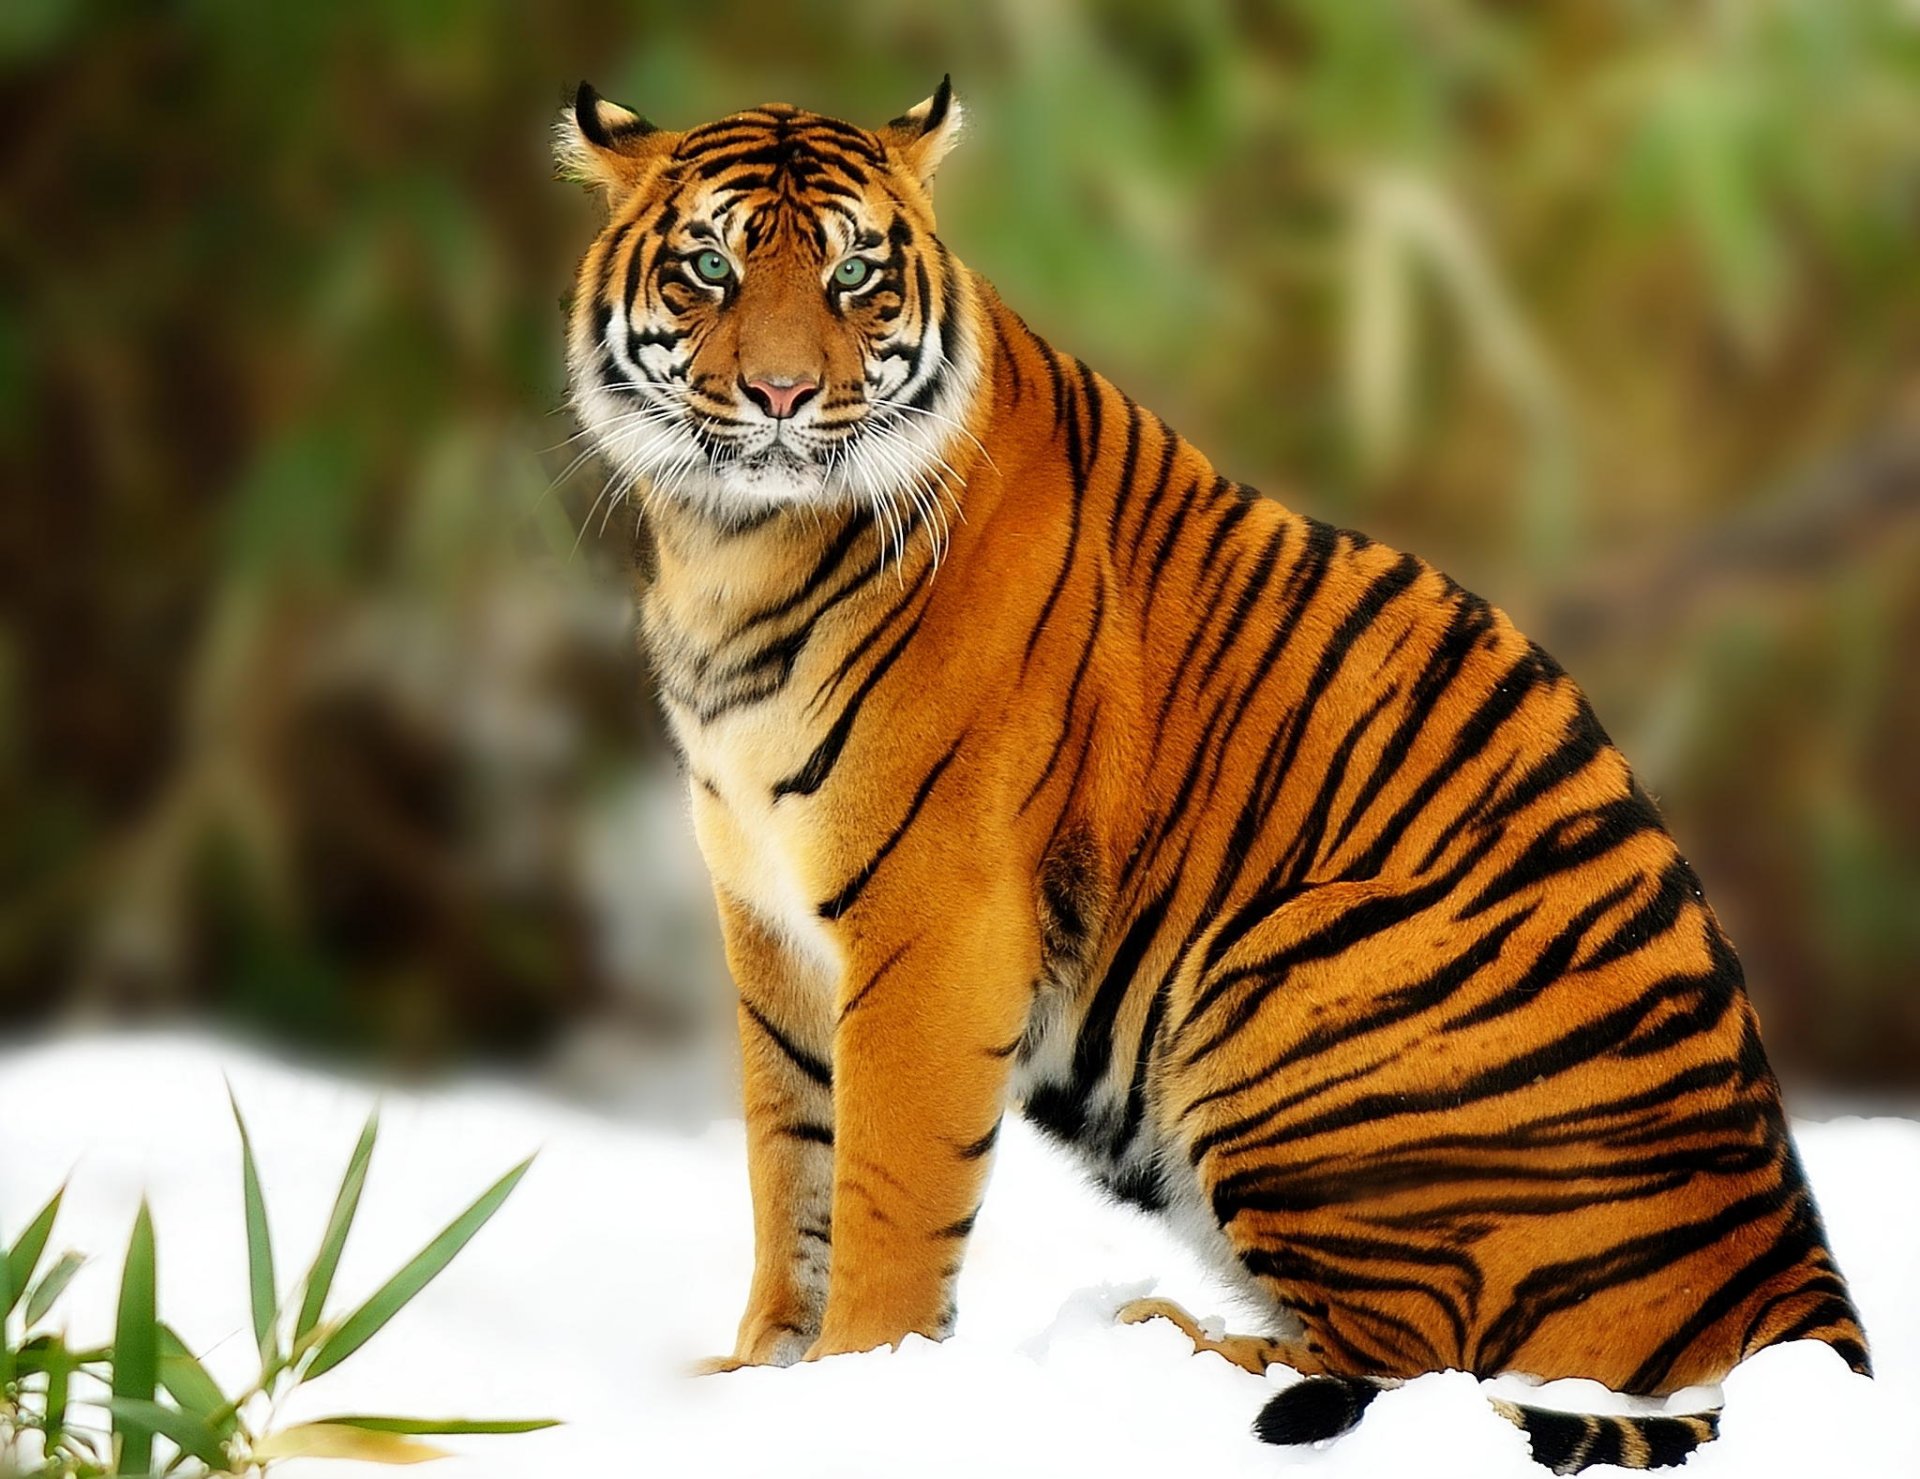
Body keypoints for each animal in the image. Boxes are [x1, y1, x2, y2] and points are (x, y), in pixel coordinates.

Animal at [555, 78, 1869, 1472]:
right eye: (710, 266)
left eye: (855, 273)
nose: (783, 394)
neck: (731, 547)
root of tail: (1796, 1271)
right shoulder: (768, 916)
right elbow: (789, 1158)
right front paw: (761, 1371)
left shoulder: (931, 919)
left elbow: (885, 1183)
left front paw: (861, 1386)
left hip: (1278, 985)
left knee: (1416, 1357)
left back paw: (1173, 1344)